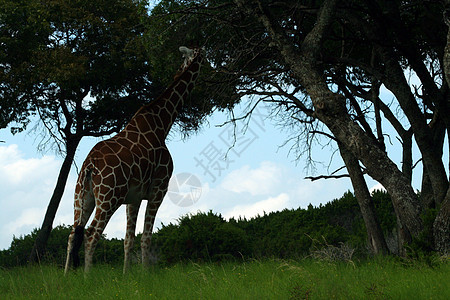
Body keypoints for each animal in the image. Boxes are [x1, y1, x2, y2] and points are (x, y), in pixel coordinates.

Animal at [64, 45, 204, 274]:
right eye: (186, 57)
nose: (178, 70)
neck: (162, 124)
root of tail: (89, 166)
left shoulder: (134, 198)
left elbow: (128, 239)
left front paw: (126, 274)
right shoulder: (158, 190)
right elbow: (146, 237)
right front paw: (146, 273)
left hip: (82, 197)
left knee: (72, 234)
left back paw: (67, 276)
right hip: (108, 197)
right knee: (91, 234)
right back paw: (86, 276)